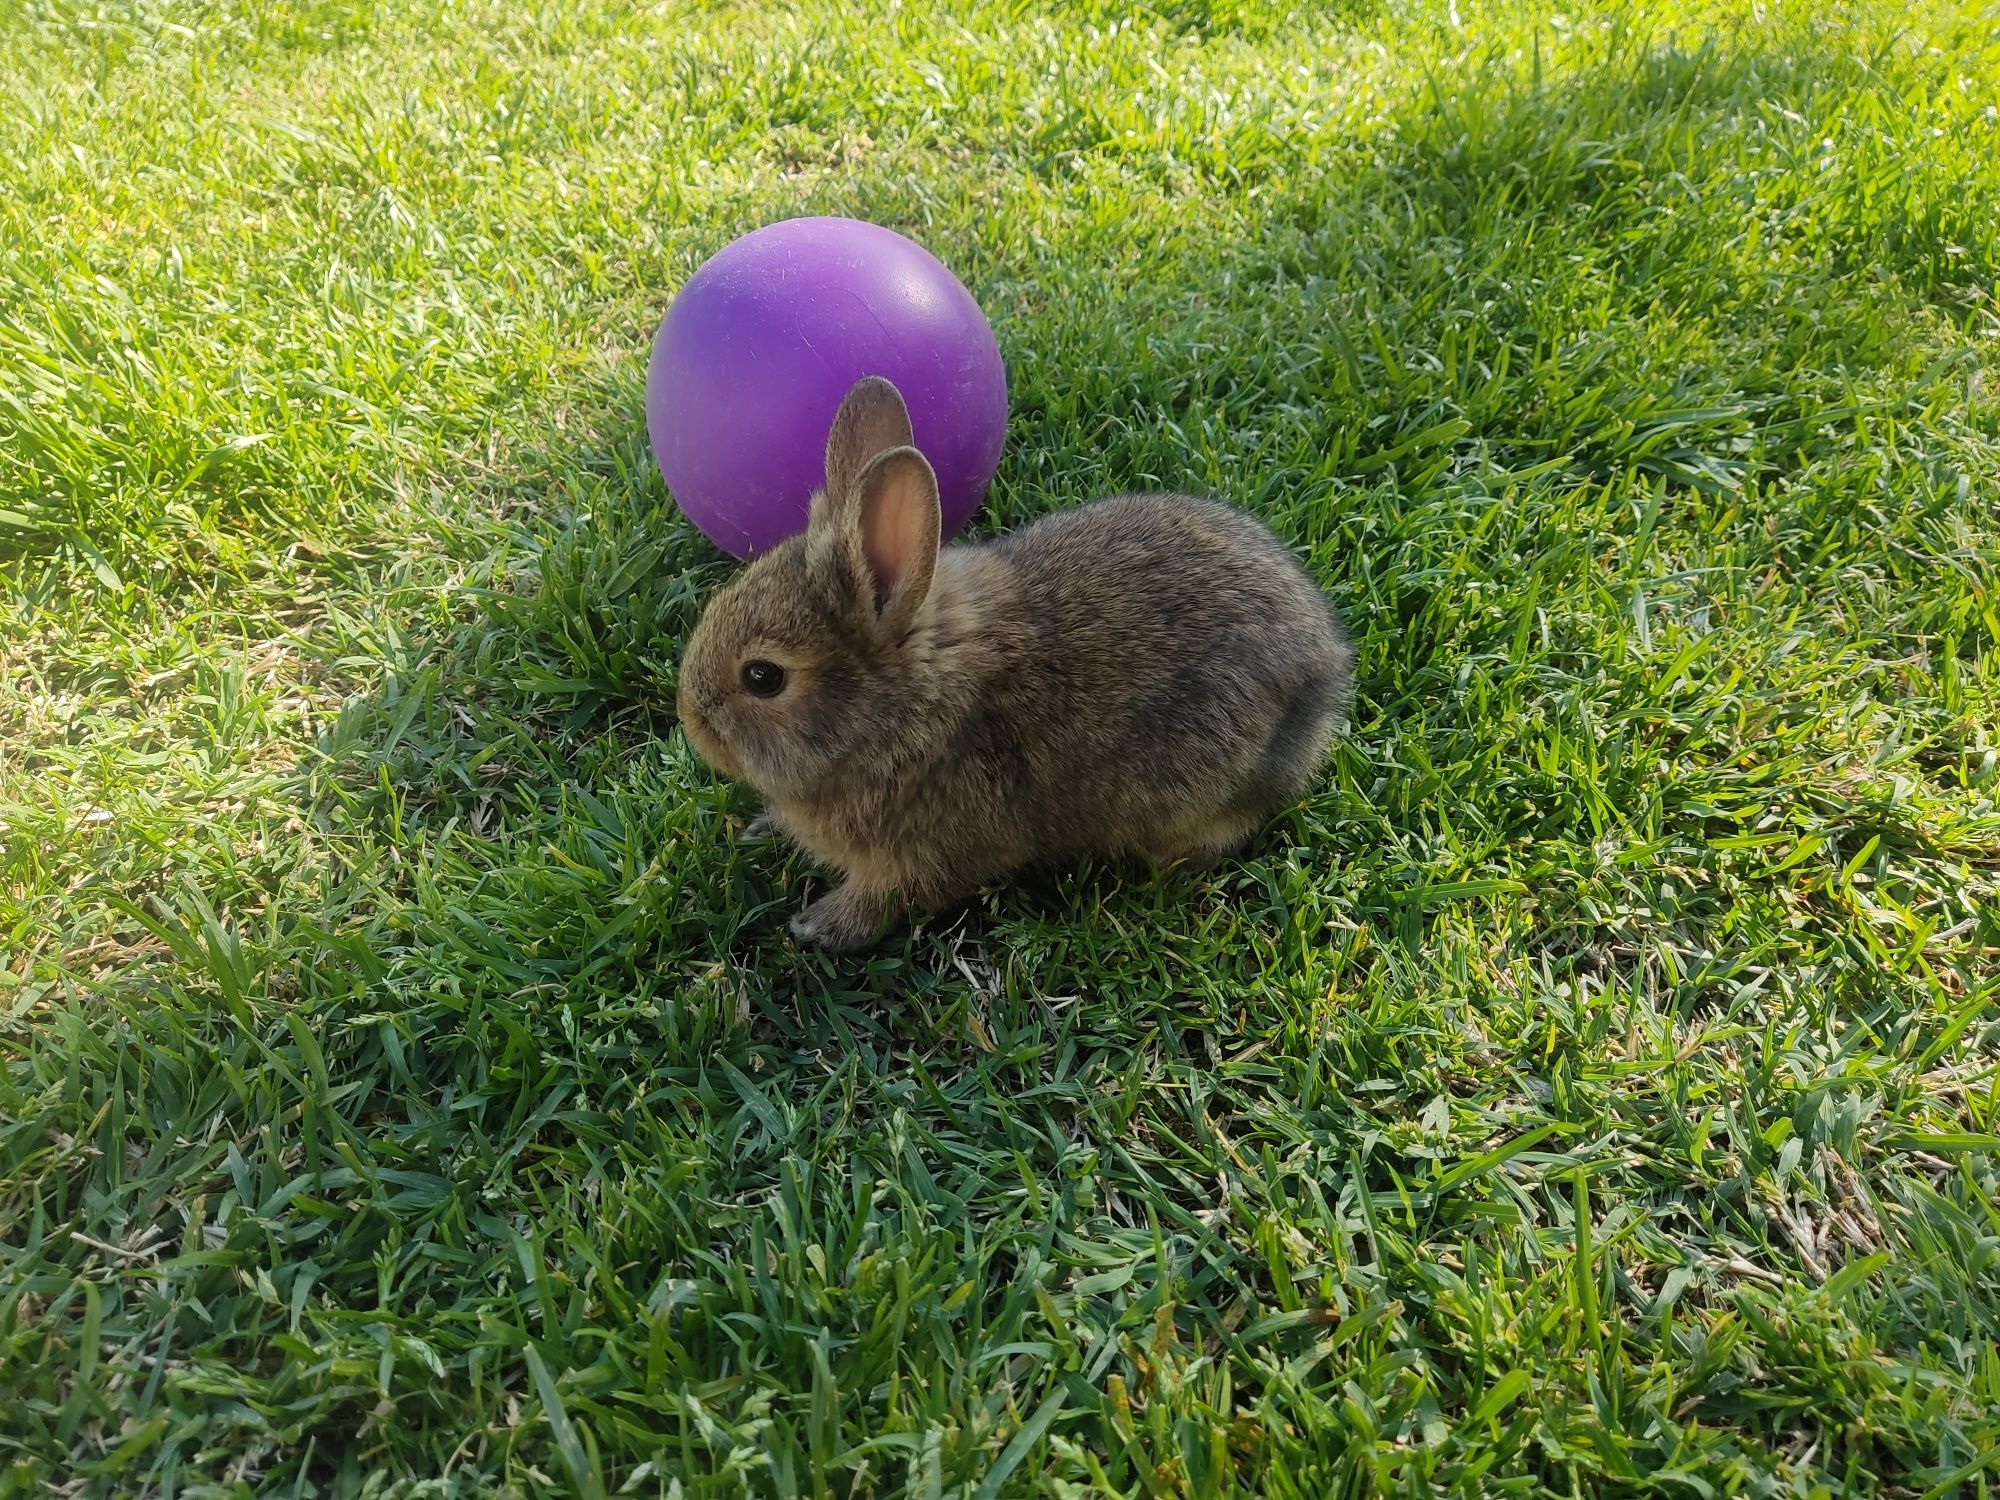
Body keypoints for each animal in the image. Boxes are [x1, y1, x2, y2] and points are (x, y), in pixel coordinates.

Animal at [676, 376, 1360, 952]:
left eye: (762, 677)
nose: (692, 720)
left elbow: (889, 897)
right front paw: (763, 829)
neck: (907, 702)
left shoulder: (925, 856)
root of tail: (1325, 666)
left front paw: (820, 925)